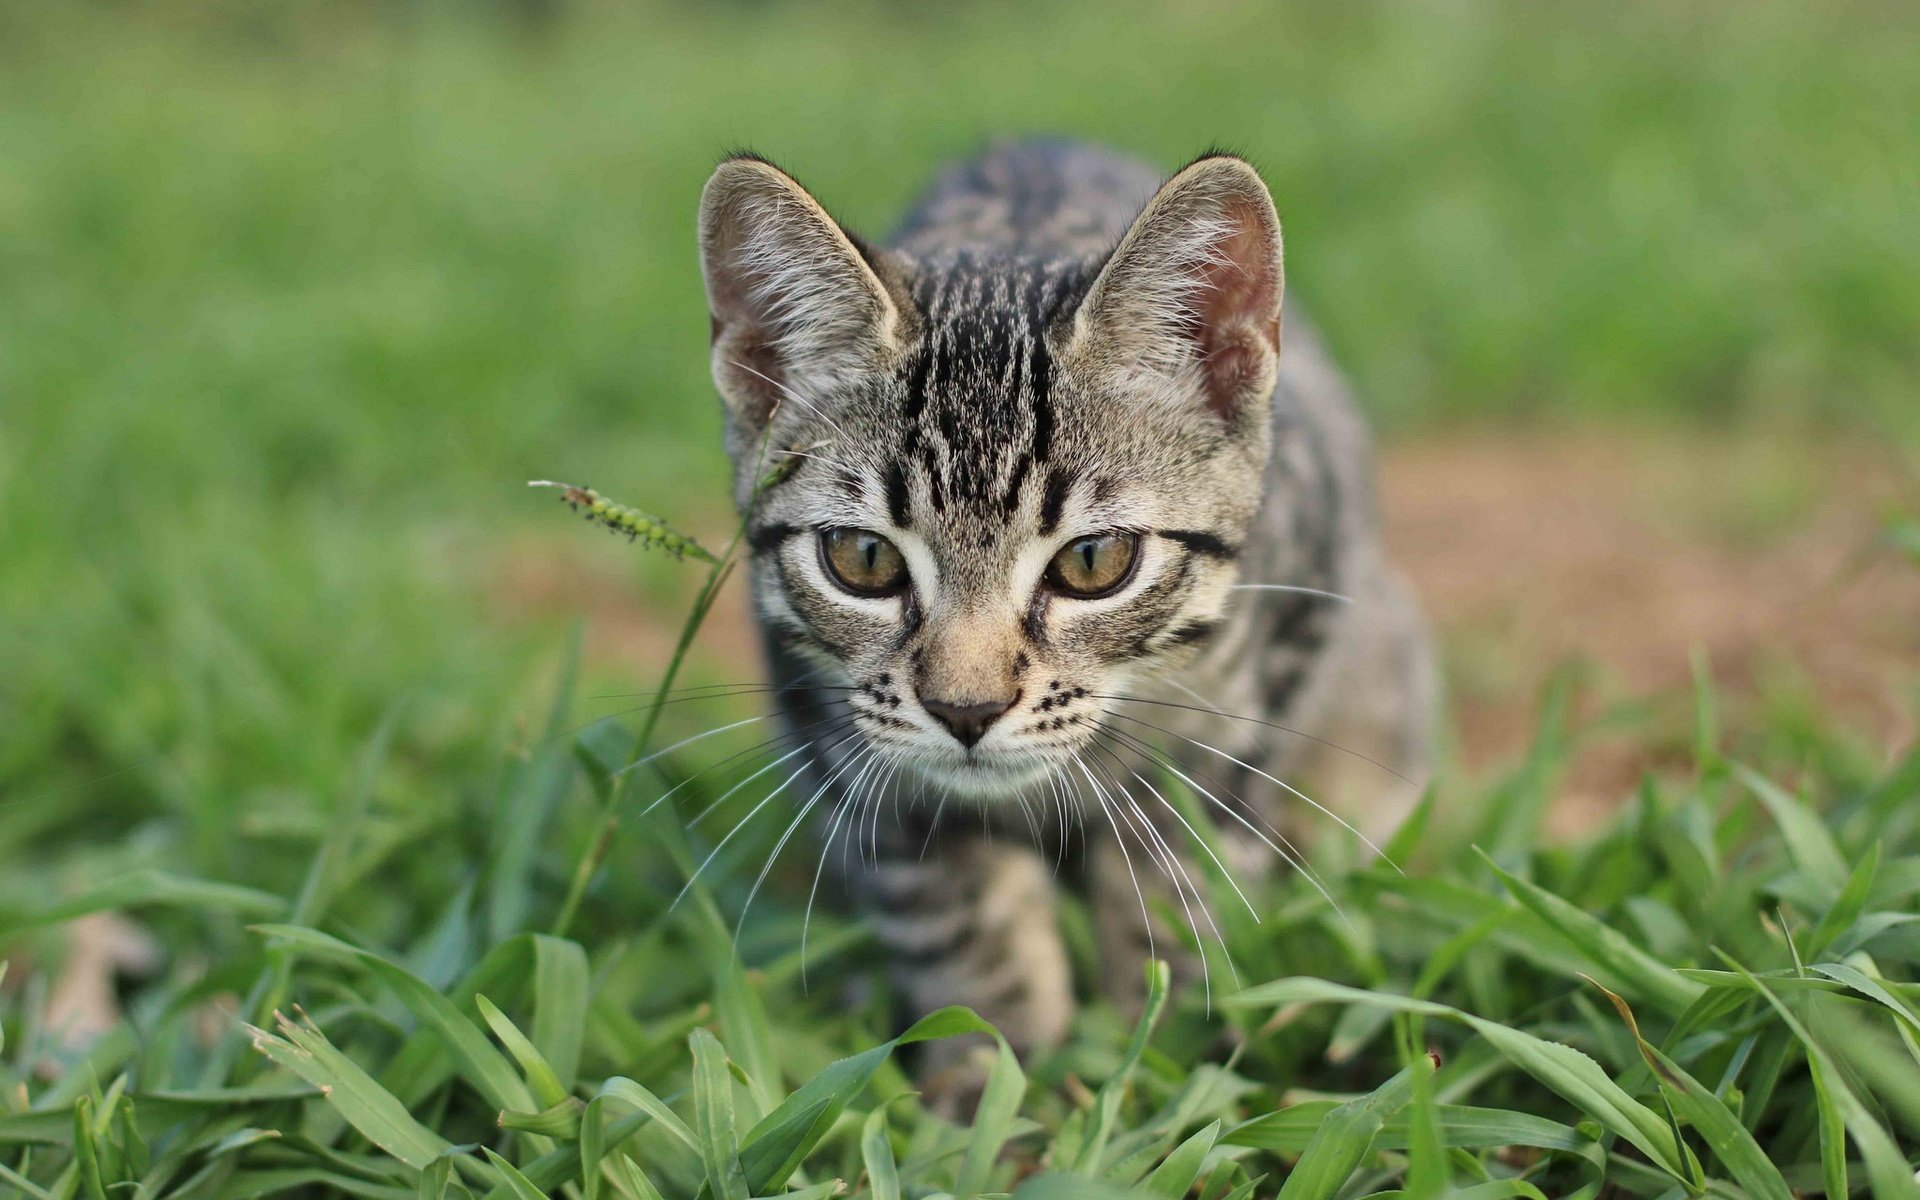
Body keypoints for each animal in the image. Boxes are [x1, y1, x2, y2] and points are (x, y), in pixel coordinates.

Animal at [698, 140, 1436, 1067]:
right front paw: (1000, 1060)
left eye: (1093, 562)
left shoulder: (1270, 668)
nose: (966, 709)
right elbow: (953, 905)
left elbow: (1176, 872)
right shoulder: (839, 736)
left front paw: (1165, 1040)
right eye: (863, 559)